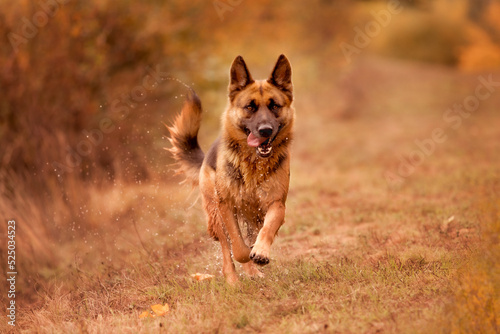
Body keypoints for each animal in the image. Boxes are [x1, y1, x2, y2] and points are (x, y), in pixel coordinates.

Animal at [168, 55, 292, 284]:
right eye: (250, 107)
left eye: (274, 106)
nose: (265, 130)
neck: (253, 165)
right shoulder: (226, 206)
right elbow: (238, 247)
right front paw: (246, 259)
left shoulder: (276, 205)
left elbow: (267, 230)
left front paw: (261, 252)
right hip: (216, 214)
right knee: (227, 248)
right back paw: (233, 280)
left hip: (252, 216)